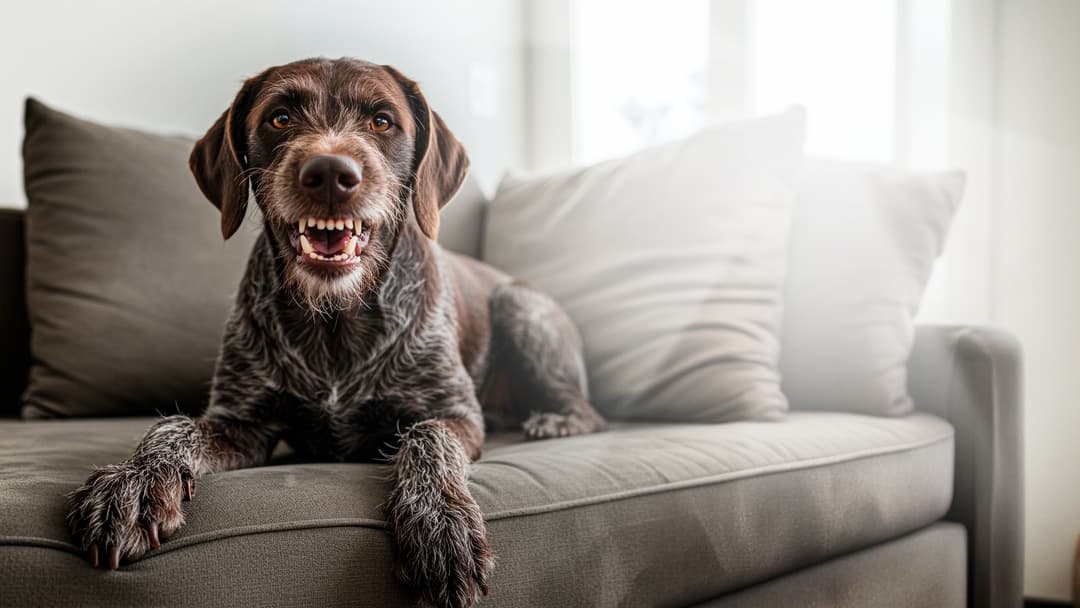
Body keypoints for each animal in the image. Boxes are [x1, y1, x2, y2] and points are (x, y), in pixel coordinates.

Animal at [65, 58, 609, 608]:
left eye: (382, 121)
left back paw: (554, 421)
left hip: (519, 305)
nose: (329, 174)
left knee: (592, 414)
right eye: (280, 118)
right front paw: (133, 483)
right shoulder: (243, 425)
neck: (335, 320)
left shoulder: (454, 413)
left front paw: (440, 523)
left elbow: (426, 437)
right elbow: (172, 427)